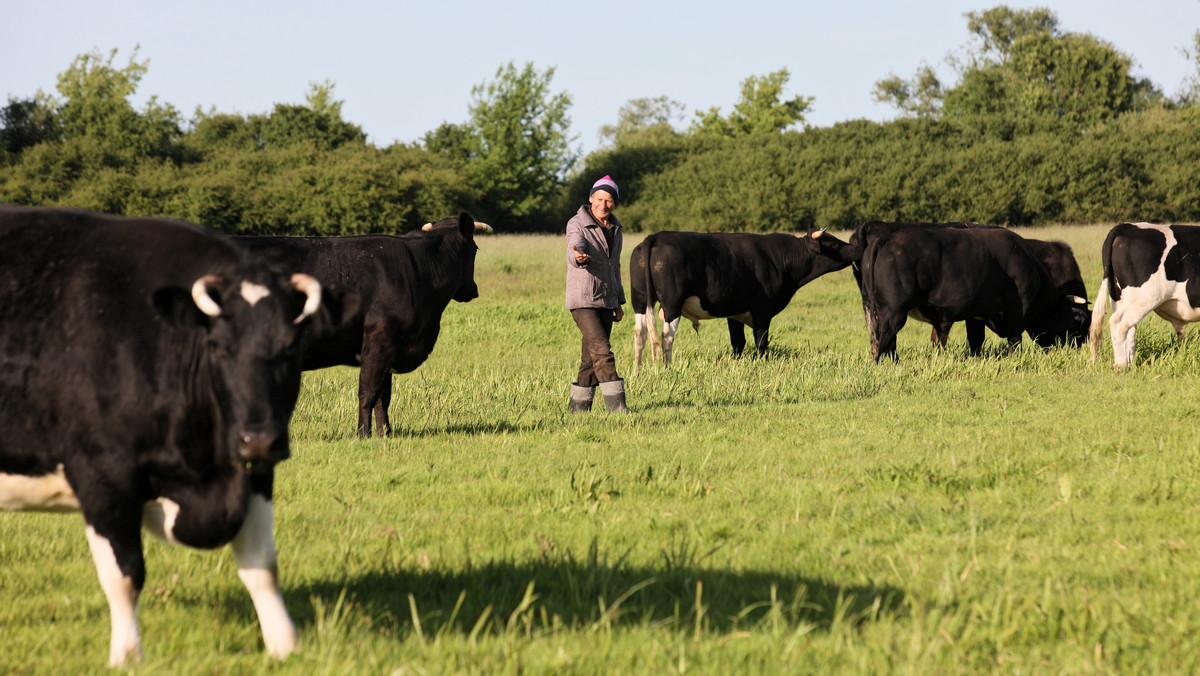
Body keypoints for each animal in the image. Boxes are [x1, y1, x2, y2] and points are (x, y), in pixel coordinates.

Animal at [0, 206, 355, 667]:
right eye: (218, 346)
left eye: (292, 348)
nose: (259, 439)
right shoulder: (101, 478)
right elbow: (124, 576)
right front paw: (127, 656)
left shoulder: (255, 473)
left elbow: (263, 566)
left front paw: (285, 647)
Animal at [628, 230, 864, 367]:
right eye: (833, 243)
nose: (857, 248)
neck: (782, 258)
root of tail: (655, 236)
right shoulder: (762, 313)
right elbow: (761, 342)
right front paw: (762, 364)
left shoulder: (735, 313)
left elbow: (738, 343)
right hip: (672, 304)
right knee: (666, 335)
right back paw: (667, 367)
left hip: (639, 301)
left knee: (640, 332)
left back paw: (638, 368)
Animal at [859, 225, 1094, 365]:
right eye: (1076, 324)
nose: (1075, 350)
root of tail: (887, 238)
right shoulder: (1016, 315)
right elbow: (1014, 341)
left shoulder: (975, 315)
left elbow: (975, 341)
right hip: (893, 313)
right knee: (885, 339)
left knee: (886, 340)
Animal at [1089, 222, 1200, 367]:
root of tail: (1128, 226)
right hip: (1144, 297)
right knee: (1118, 323)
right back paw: (1121, 365)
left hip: (1119, 297)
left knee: (1129, 329)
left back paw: (1129, 365)